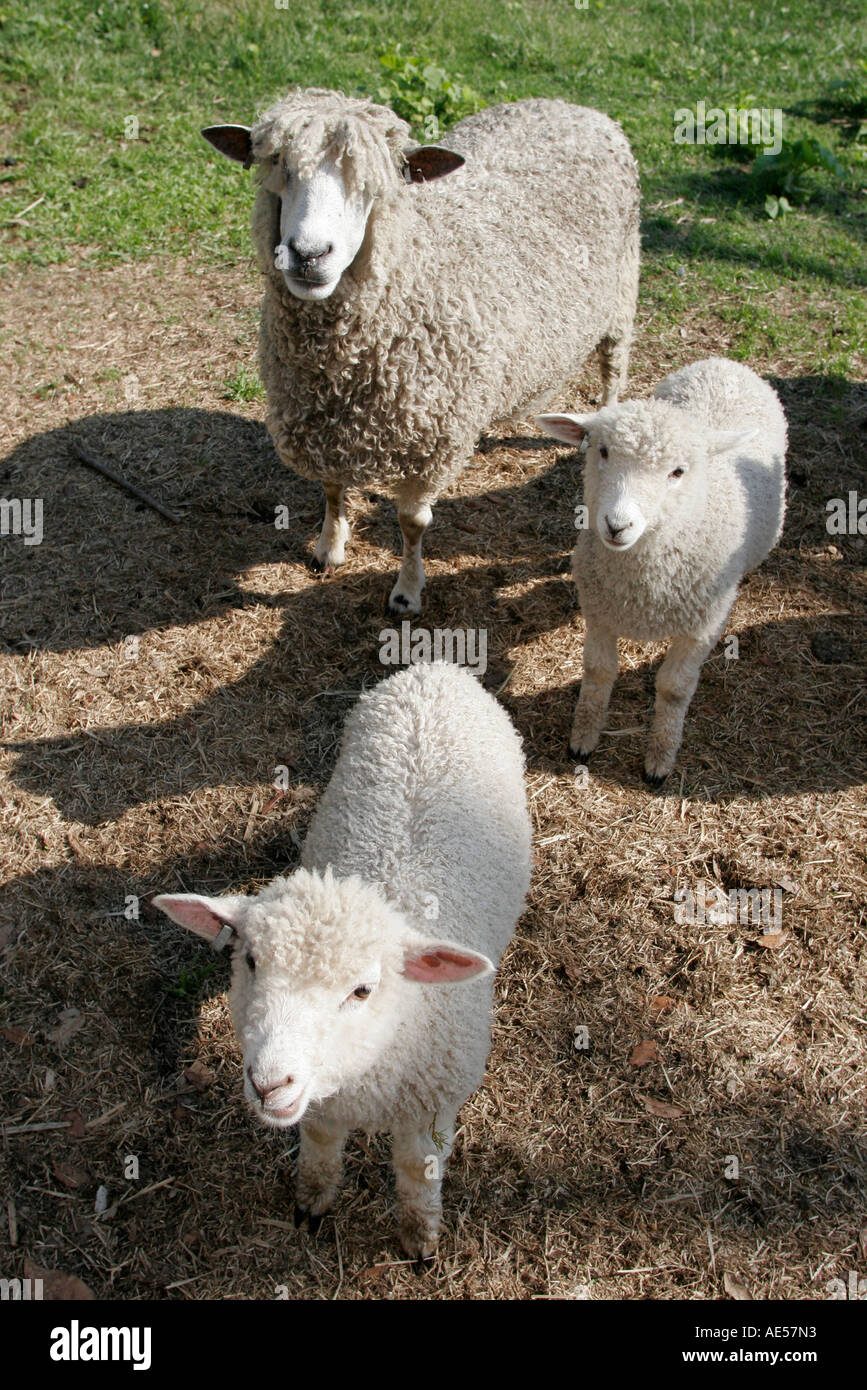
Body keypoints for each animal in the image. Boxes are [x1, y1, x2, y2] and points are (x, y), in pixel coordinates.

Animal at [201, 86, 636, 608]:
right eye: (279, 166)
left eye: (374, 187)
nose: (307, 255)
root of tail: (569, 105)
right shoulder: (326, 424)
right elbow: (331, 488)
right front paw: (329, 549)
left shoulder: (434, 444)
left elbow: (411, 523)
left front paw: (407, 591)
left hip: (621, 296)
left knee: (612, 372)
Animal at [536, 355, 783, 783]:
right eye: (602, 451)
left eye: (678, 471)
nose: (616, 525)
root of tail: (724, 362)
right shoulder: (600, 612)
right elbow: (598, 673)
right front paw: (583, 738)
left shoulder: (701, 629)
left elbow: (674, 690)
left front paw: (660, 757)